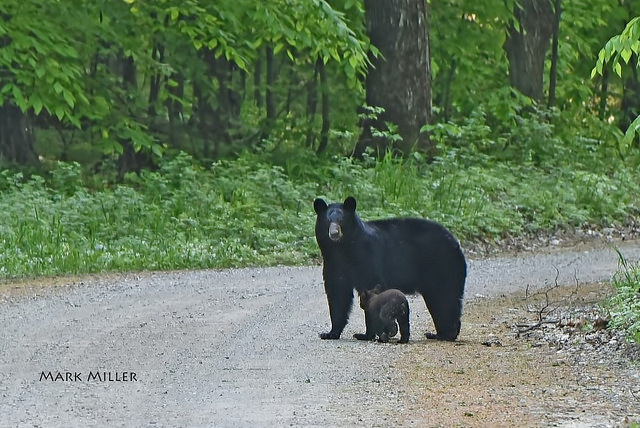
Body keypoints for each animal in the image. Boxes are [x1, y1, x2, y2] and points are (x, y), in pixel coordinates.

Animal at [313, 196, 466, 341]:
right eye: (327, 221)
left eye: (341, 220)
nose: (334, 233)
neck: (343, 250)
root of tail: (455, 242)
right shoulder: (333, 264)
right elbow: (338, 295)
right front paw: (330, 333)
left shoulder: (368, 258)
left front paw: (366, 334)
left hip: (442, 266)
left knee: (444, 299)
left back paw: (444, 334)